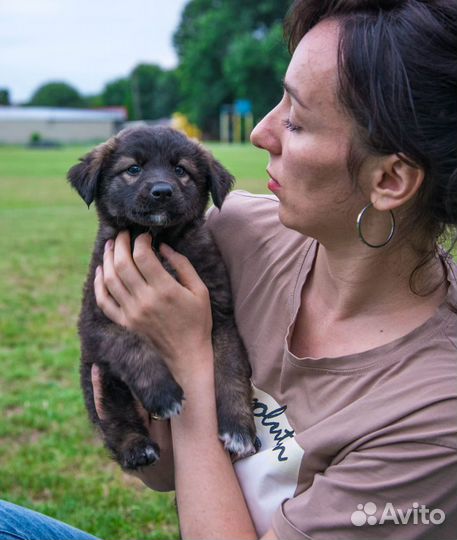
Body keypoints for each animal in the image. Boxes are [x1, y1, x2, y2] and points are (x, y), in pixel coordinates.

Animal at [67, 125, 256, 468]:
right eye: (133, 169)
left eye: (180, 170)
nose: (162, 191)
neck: (155, 240)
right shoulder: (95, 319)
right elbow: (131, 345)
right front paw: (162, 392)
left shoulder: (221, 318)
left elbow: (231, 370)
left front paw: (239, 428)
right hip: (96, 373)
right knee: (112, 414)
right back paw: (136, 446)